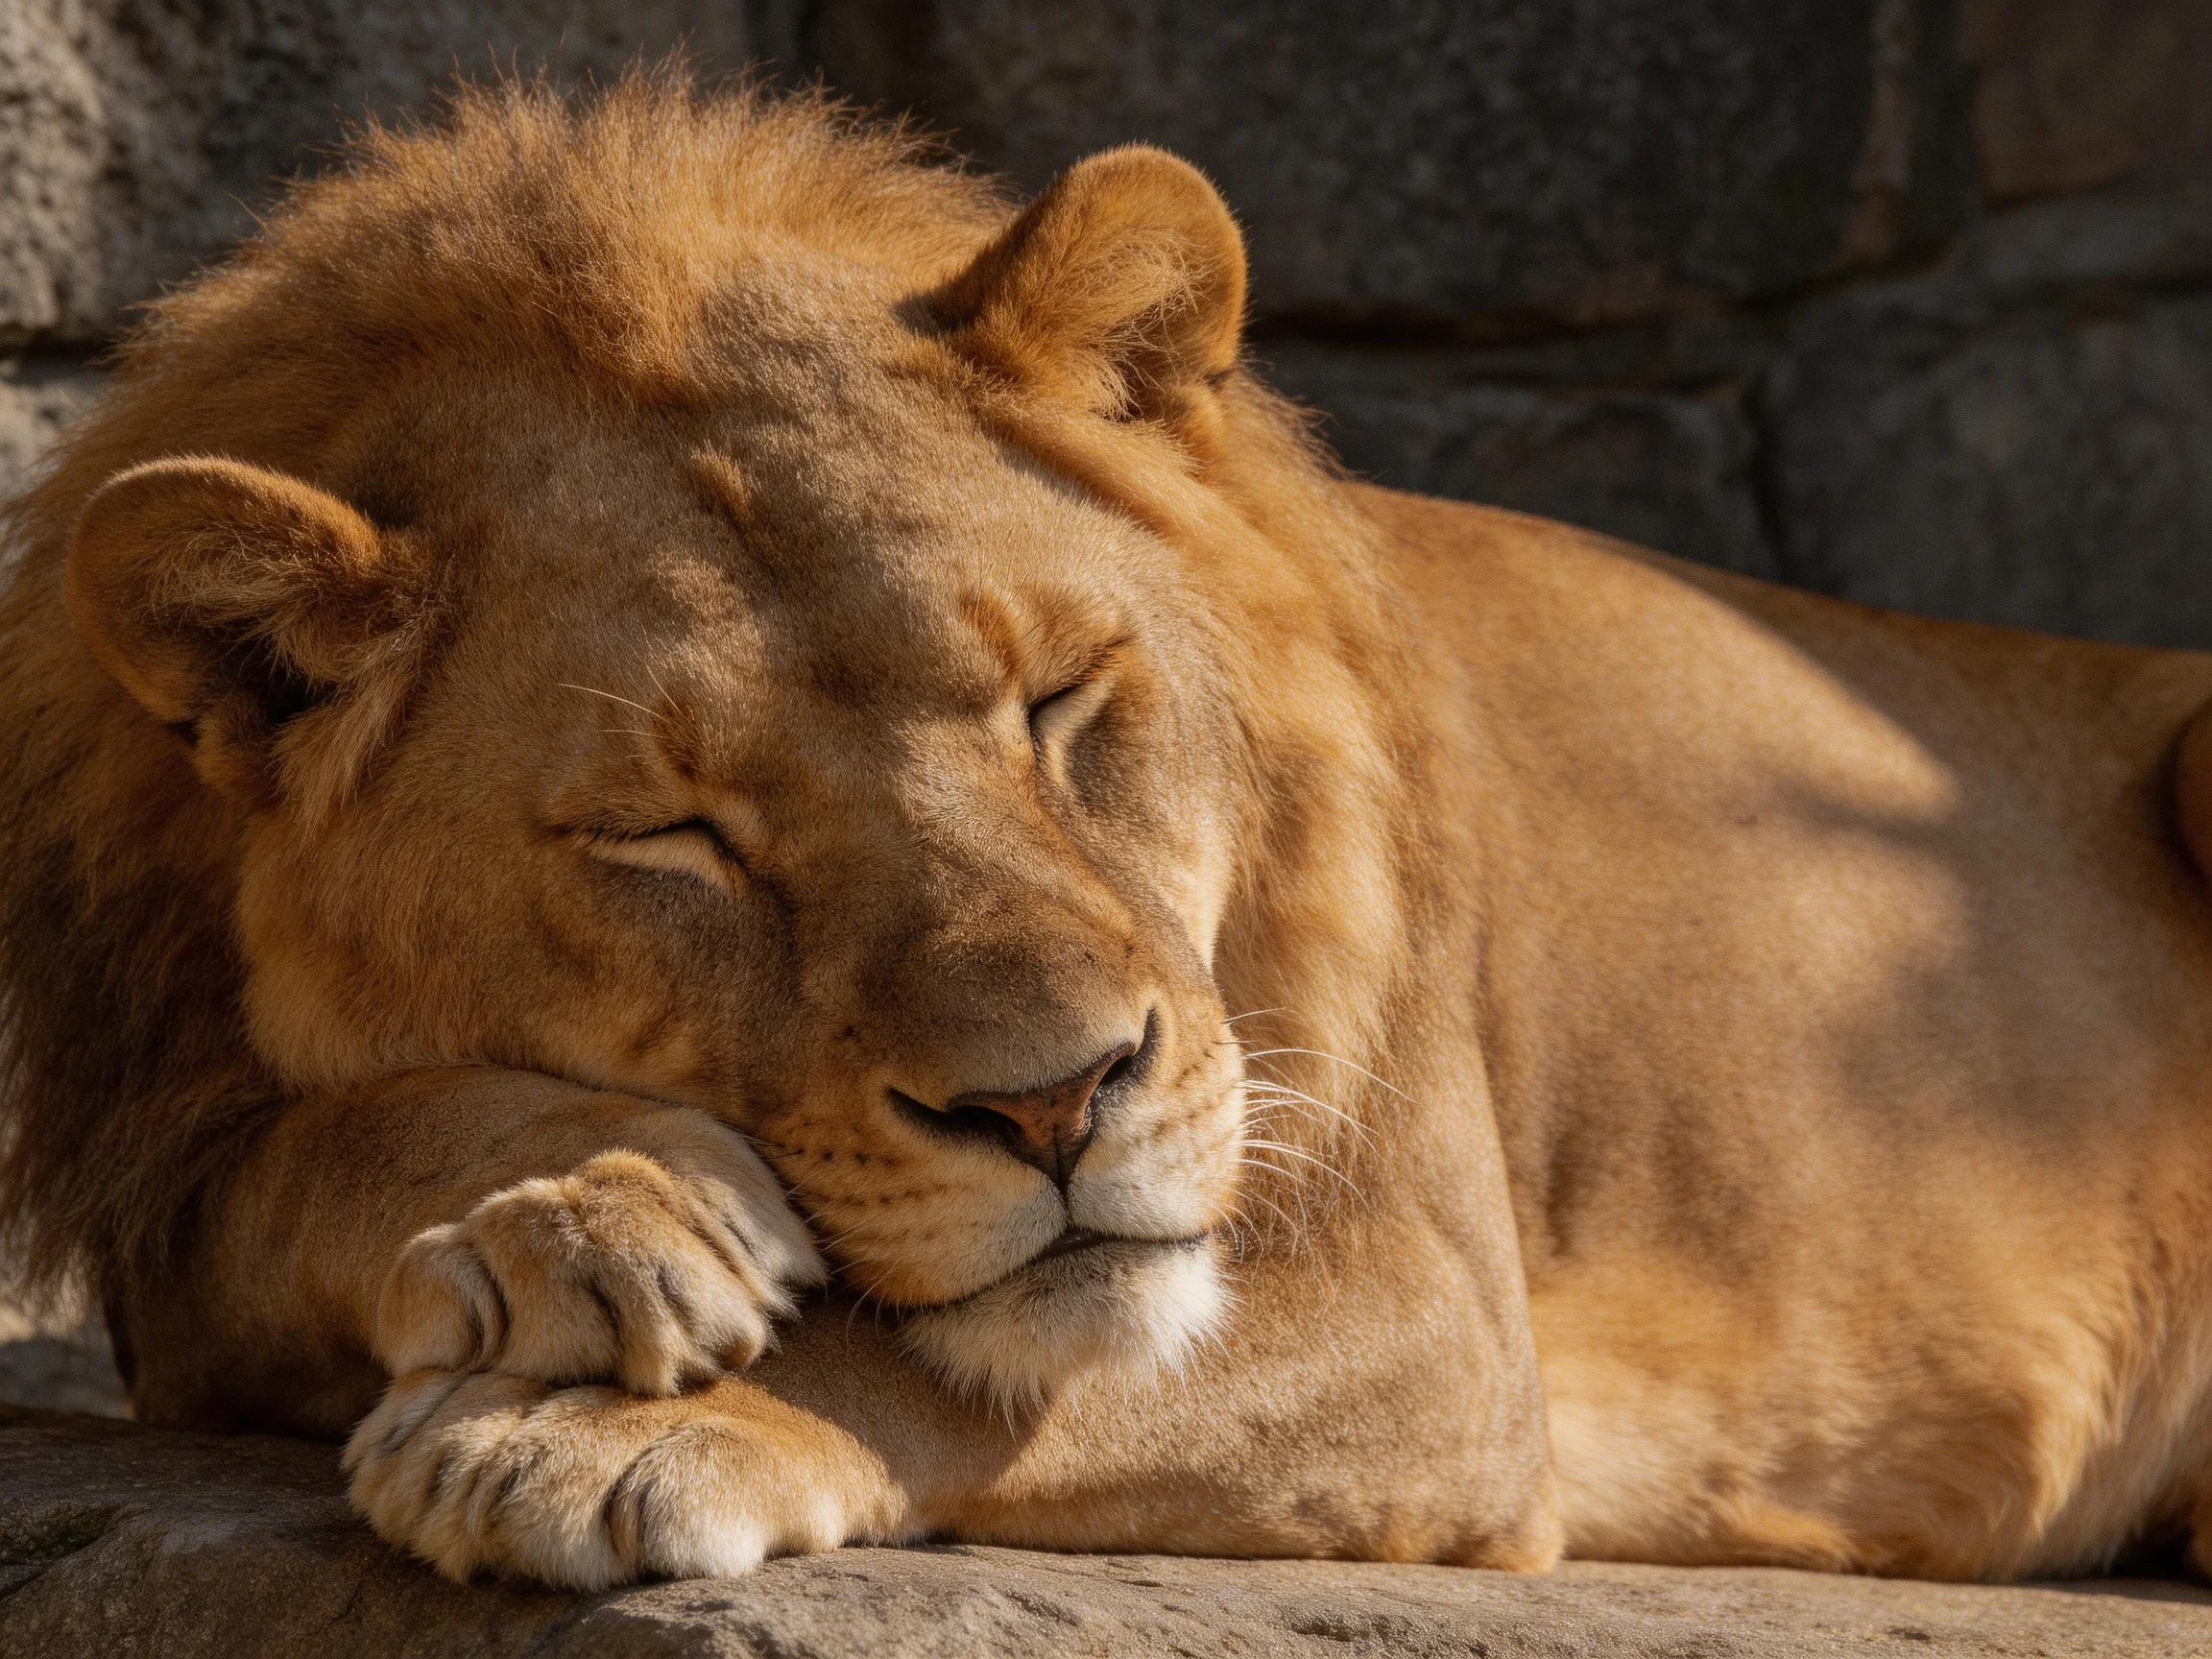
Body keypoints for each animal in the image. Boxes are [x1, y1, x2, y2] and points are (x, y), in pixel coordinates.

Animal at [6, 73, 2212, 1592]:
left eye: (1061, 700)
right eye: (675, 834)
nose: (1056, 1102)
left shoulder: (1428, 1305)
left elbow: (965, 1360)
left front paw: (590, 1429)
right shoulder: (169, 1214)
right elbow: (303, 1157)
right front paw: (599, 1214)